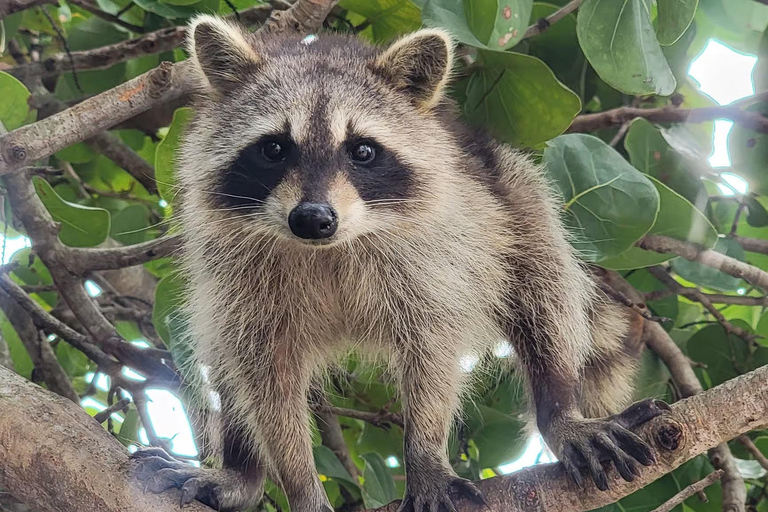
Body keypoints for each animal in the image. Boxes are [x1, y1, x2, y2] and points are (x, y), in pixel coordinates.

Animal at [132, 16, 667, 512]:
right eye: (274, 148)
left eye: (363, 150)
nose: (312, 219)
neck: (331, 248)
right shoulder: (237, 271)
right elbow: (264, 375)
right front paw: (299, 483)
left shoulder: (436, 255)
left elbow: (433, 350)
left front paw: (426, 454)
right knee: (224, 351)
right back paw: (242, 472)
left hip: (513, 192)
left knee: (544, 289)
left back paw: (560, 409)